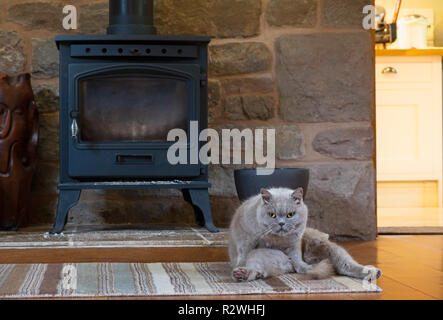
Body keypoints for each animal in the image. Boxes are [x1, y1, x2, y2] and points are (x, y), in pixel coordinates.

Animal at [229, 188, 382, 282]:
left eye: (290, 214)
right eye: (272, 215)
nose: (281, 223)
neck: (277, 240)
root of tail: (287, 265)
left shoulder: (295, 242)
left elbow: (297, 257)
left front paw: (304, 267)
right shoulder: (246, 239)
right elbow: (244, 252)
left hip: (329, 248)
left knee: (345, 266)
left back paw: (372, 272)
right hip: (261, 254)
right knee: (258, 266)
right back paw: (243, 274)